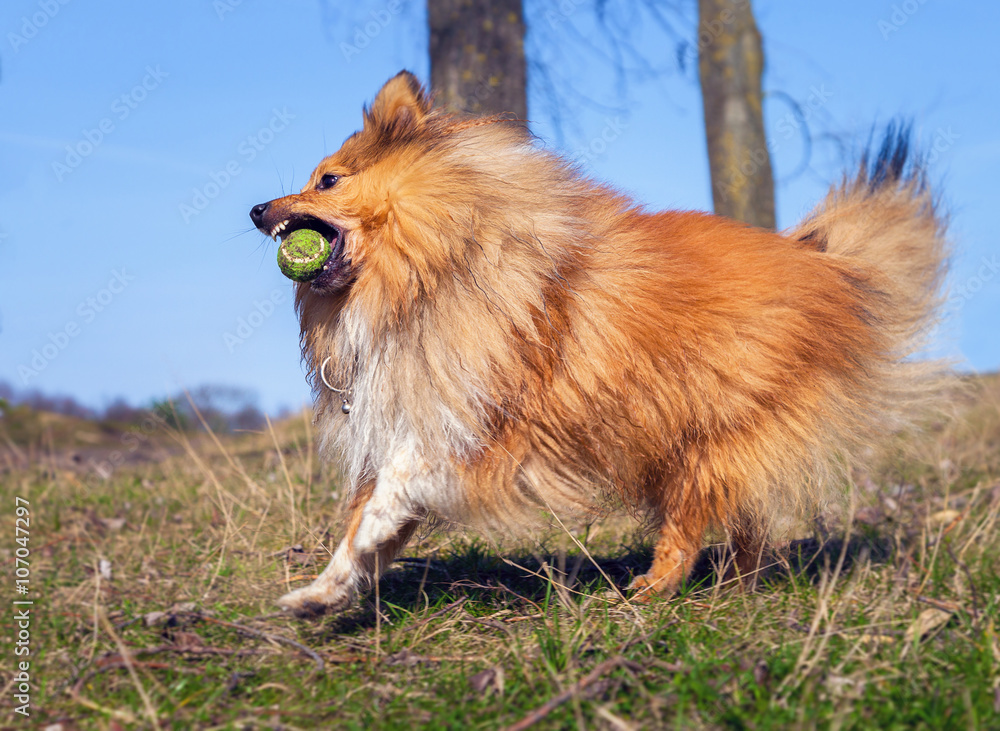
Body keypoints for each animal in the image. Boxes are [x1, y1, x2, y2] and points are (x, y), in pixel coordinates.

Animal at [248, 73, 944, 616]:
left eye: (327, 180)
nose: (256, 210)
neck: (431, 272)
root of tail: (829, 264)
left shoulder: (489, 427)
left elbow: (398, 482)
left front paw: (365, 544)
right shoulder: (407, 415)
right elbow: (360, 526)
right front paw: (322, 592)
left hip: (707, 436)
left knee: (690, 525)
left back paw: (651, 592)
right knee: (743, 526)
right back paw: (734, 589)